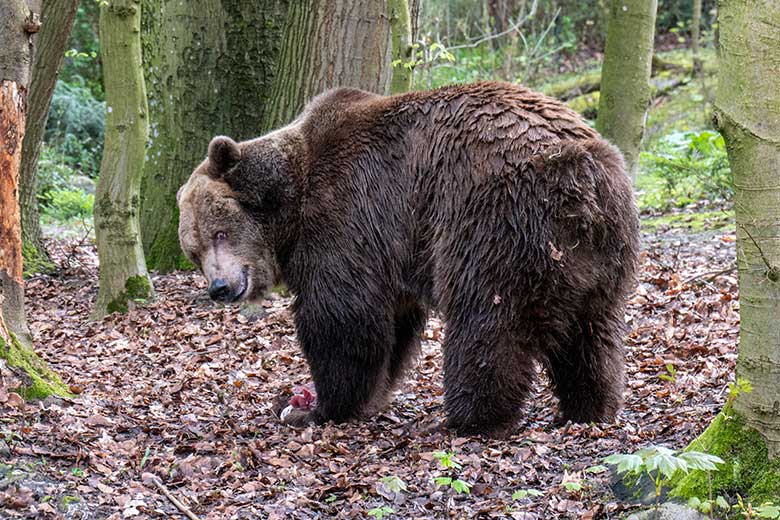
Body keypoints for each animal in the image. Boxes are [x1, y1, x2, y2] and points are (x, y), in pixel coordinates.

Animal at [177, 81, 640, 434]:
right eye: (194, 250)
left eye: (219, 232)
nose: (220, 287)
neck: (290, 203)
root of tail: (582, 172)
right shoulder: (390, 255)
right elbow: (392, 326)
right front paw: (370, 395)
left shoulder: (346, 218)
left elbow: (341, 319)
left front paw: (322, 406)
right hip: (598, 253)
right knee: (592, 332)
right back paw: (589, 406)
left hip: (495, 221)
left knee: (487, 322)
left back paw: (471, 417)